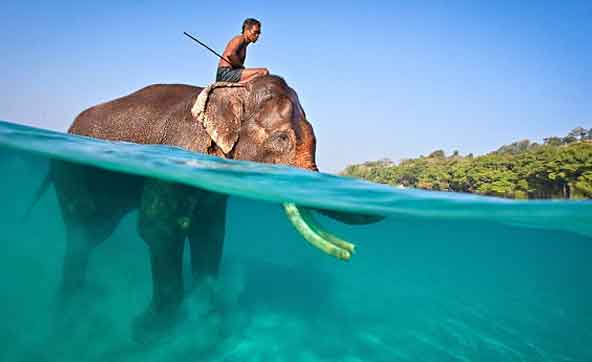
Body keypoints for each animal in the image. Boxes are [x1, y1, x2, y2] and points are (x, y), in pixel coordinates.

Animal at [27, 75, 382, 340]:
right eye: (281, 139)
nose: (351, 252)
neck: (233, 94)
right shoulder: (180, 153)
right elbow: (161, 227)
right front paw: (148, 332)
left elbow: (209, 233)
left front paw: (207, 323)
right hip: (70, 173)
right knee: (85, 230)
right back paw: (69, 312)